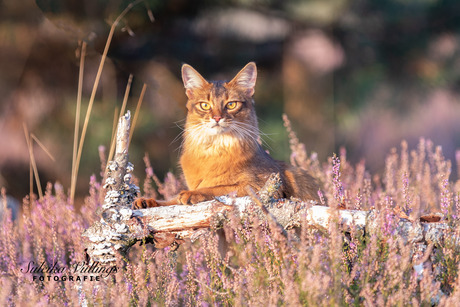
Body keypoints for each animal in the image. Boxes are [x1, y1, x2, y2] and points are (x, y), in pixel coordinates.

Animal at [134, 62, 320, 209]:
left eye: (231, 104)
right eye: (204, 105)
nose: (217, 117)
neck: (213, 150)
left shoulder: (263, 186)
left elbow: (221, 187)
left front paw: (193, 193)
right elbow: (170, 201)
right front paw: (148, 201)